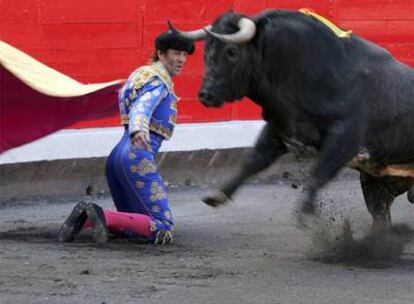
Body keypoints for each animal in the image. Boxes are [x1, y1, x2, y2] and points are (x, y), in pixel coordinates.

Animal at [169, 10, 414, 233]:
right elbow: (253, 161)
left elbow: (318, 173)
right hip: (377, 181)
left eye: (231, 51)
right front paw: (218, 194)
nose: (205, 95)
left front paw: (306, 214)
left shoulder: (345, 138)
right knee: (380, 214)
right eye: (206, 50)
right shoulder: (279, 130)